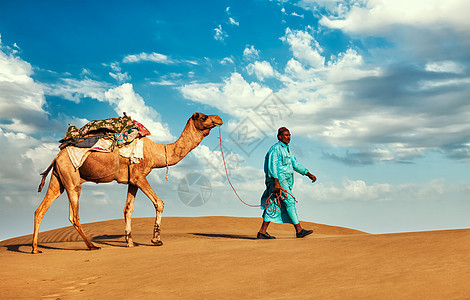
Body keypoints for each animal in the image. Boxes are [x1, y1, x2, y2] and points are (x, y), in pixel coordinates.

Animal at [32, 112, 223, 253]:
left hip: (58, 180)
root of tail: (56, 157)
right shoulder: (140, 176)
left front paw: (130, 242)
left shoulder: (132, 180)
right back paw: (92, 246)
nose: (219, 118)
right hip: (72, 180)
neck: (156, 153)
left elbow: (128, 209)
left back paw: (35, 248)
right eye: (203, 117)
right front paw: (156, 240)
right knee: (73, 215)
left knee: (40, 210)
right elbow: (159, 203)